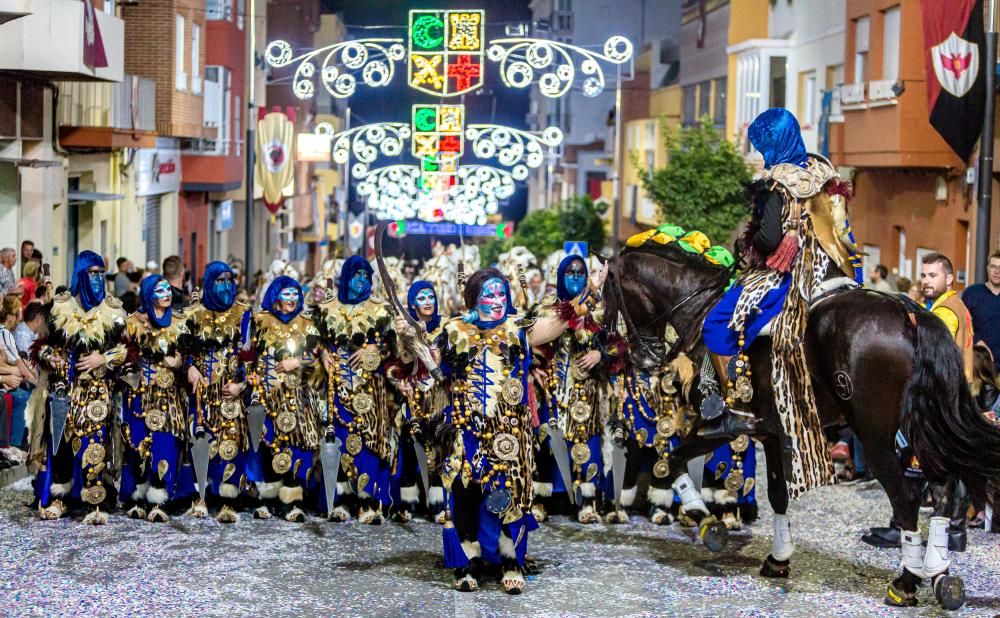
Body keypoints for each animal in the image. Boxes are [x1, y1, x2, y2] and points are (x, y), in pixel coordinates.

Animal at [600, 241, 1000, 608]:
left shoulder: (718, 426)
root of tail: (909, 314)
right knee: (943, 486)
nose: (638, 356)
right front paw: (778, 558)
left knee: (907, 498)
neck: (699, 311)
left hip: (875, 436)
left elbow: (669, 463)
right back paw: (940, 575)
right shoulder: (771, 433)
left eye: (607, 293)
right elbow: (777, 494)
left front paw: (707, 523)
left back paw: (906, 581)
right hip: (918, 429)